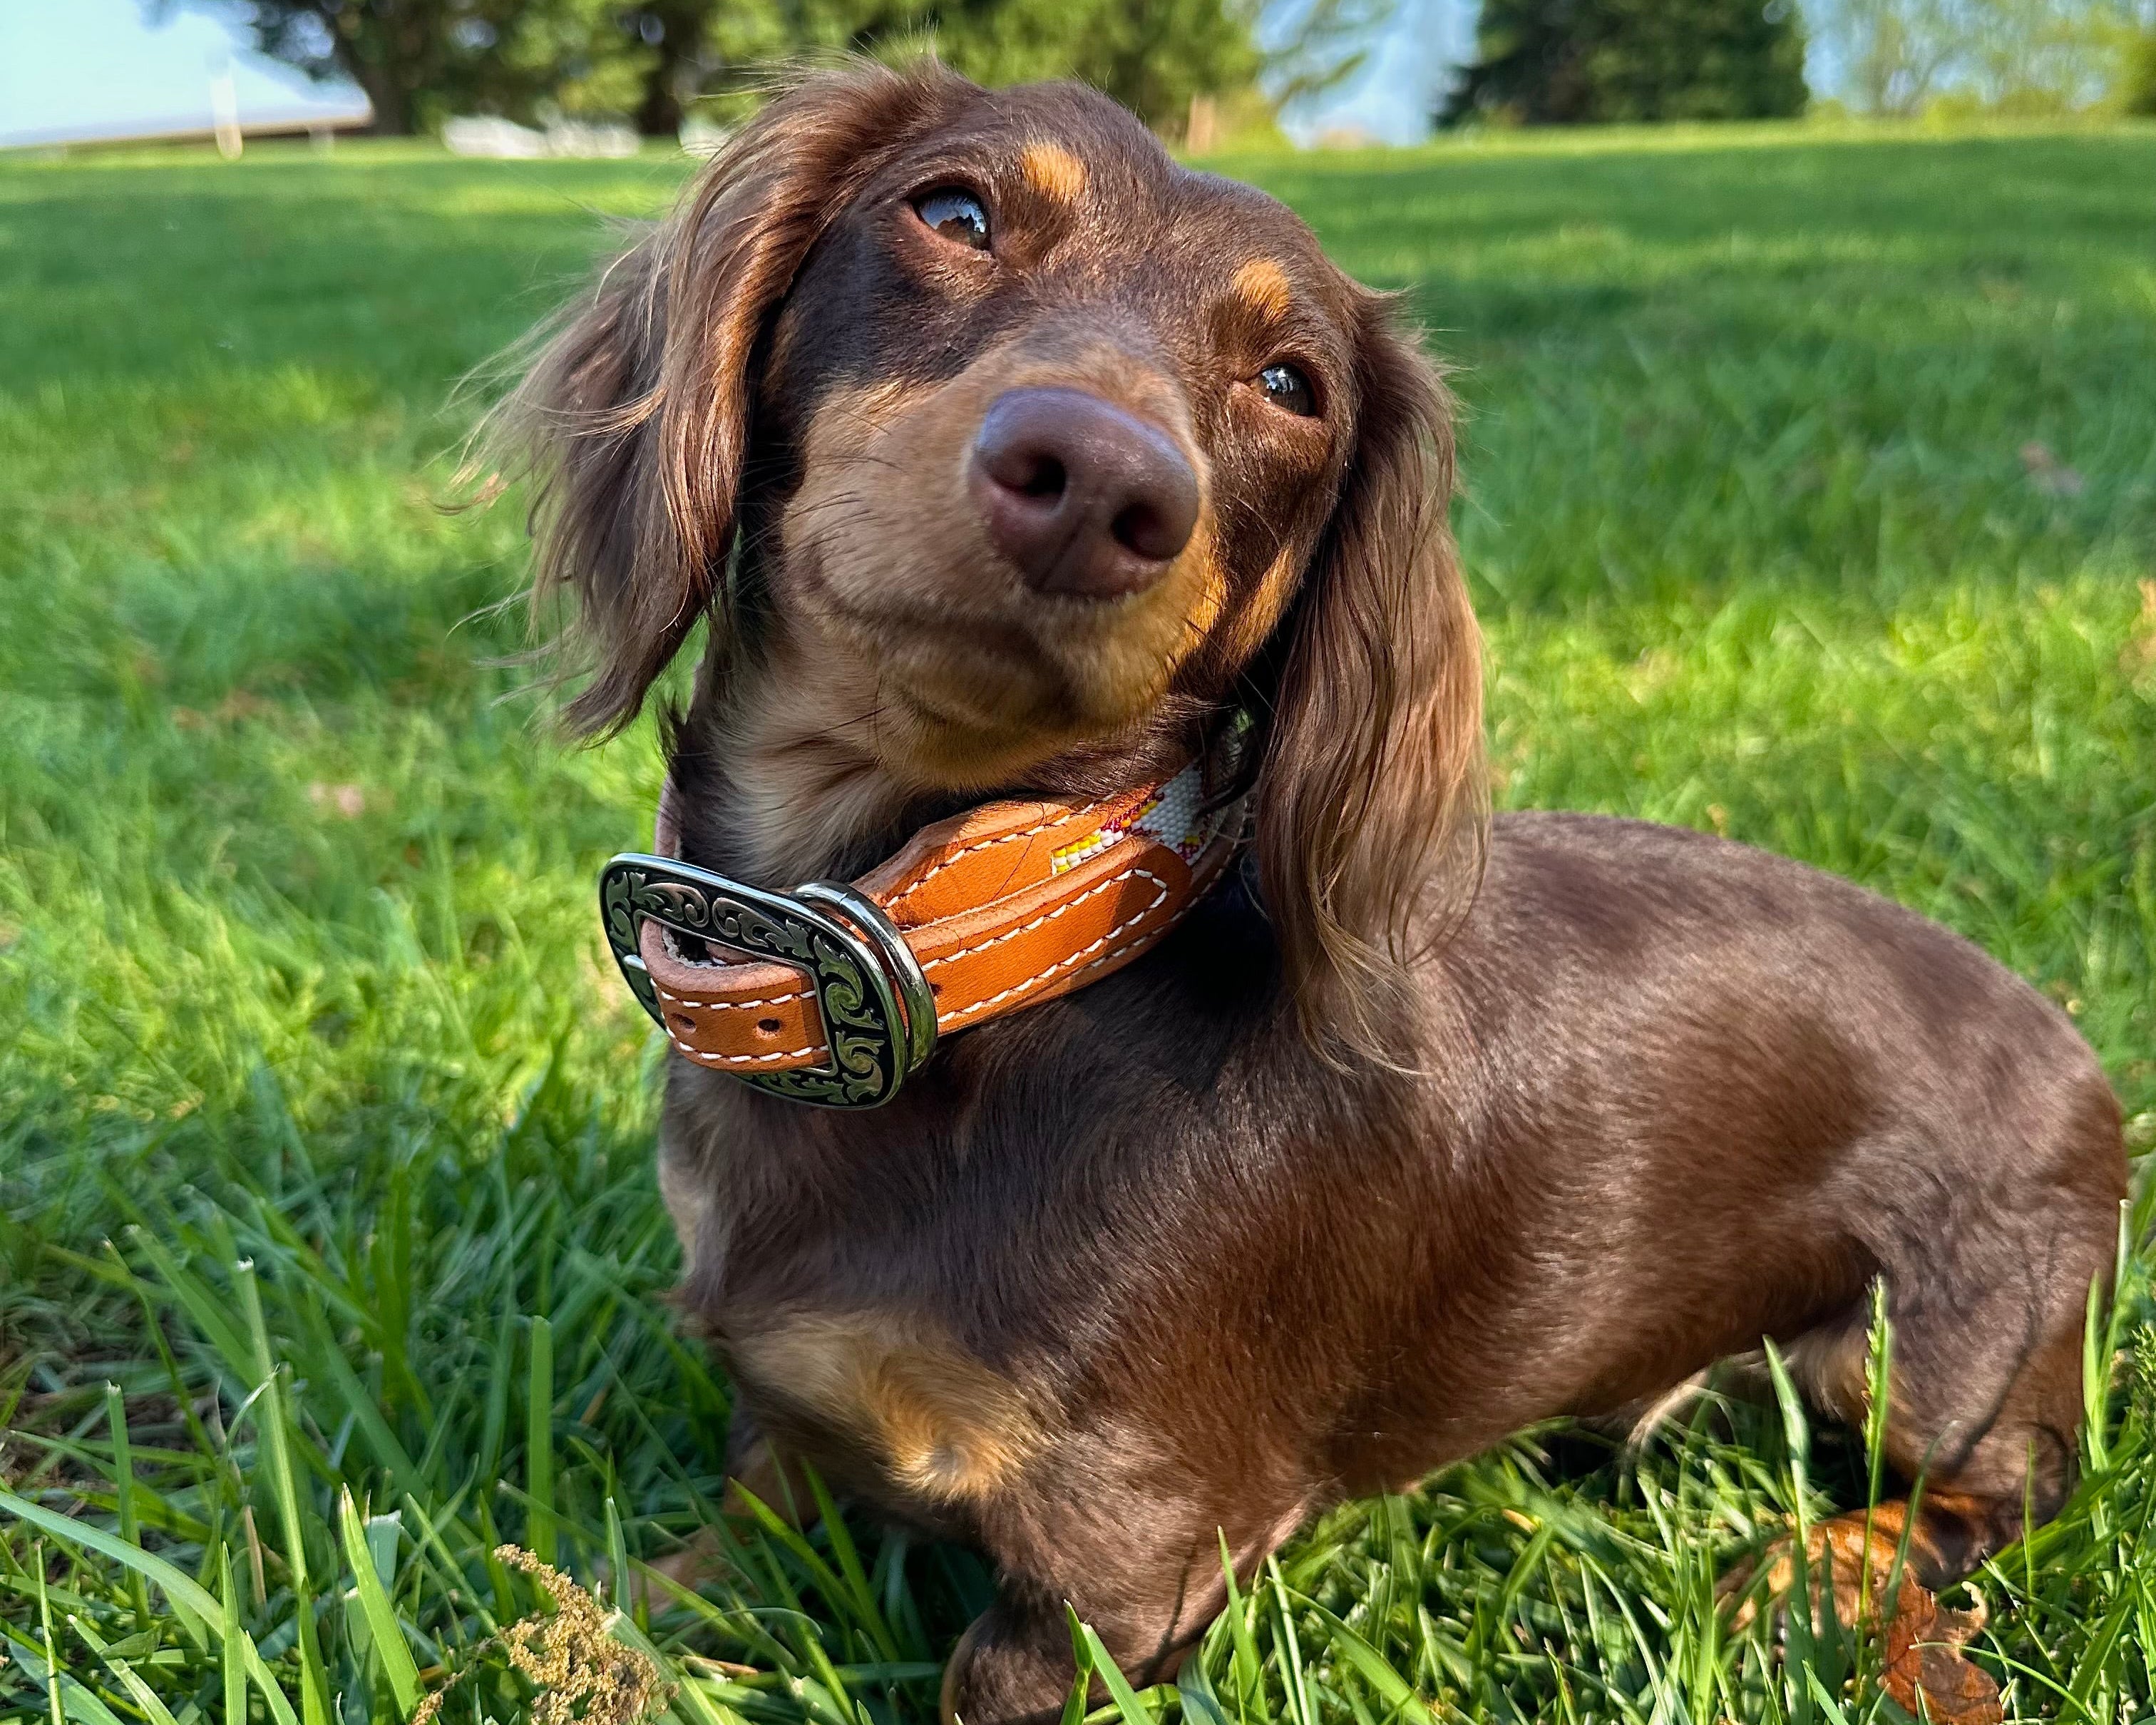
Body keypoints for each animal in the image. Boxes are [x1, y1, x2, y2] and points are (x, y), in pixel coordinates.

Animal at [493, 61, 2126, 1724]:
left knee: (2008, 1487)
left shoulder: (1125, 1559)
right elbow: (700, 1563)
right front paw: (572, 1635)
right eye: (949, 212)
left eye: (1292, 386)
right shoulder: (784, 1425)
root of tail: (2080, 1054)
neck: (989, 960)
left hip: (1911, 1355)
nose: (1100, 482)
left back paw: (1819, 1567)